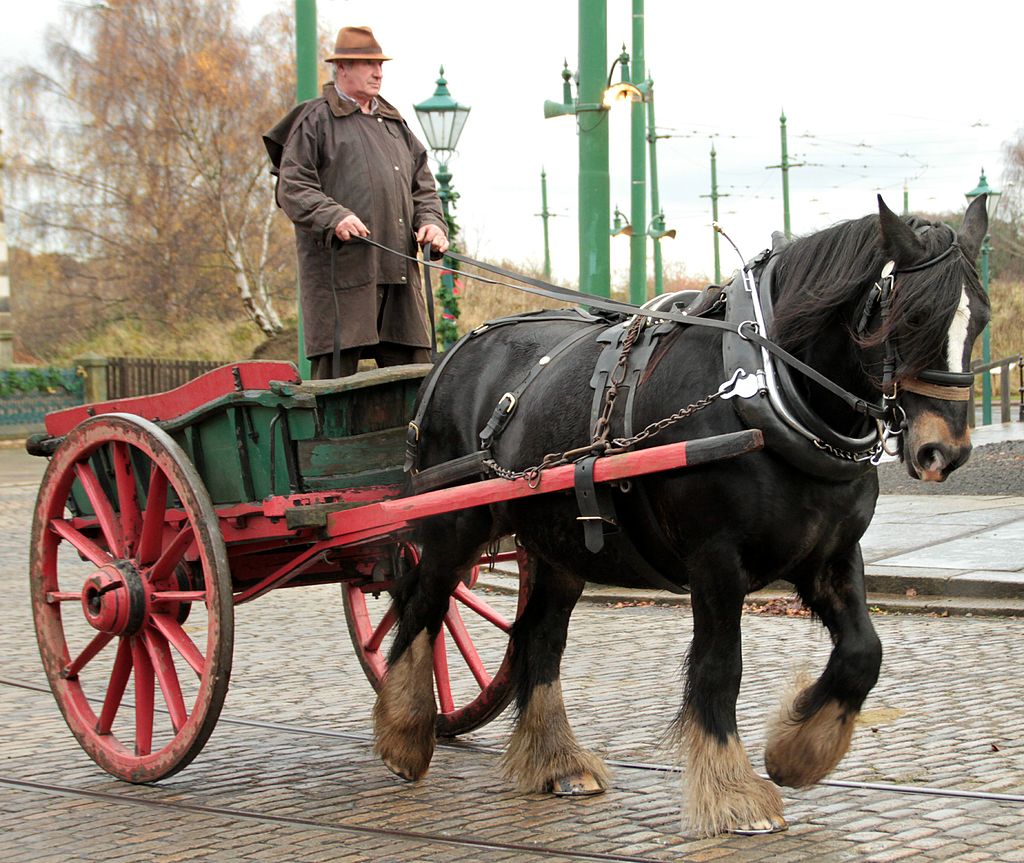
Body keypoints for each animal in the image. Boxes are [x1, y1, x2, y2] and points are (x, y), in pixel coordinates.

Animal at [372, 197, 987, 835]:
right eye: (913, 320)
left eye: (980, 320)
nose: (944, 451)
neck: (760, 388)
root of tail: (457, 351)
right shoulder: (715, 560)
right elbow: (721, 667)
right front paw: (734, 792)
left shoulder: (831, 555)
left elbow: (864, 652)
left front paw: (798, 752)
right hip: (455, 525)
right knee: (423, 605)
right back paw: (405, 735)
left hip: (560, 547)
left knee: (537, 636)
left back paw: (556, 760)